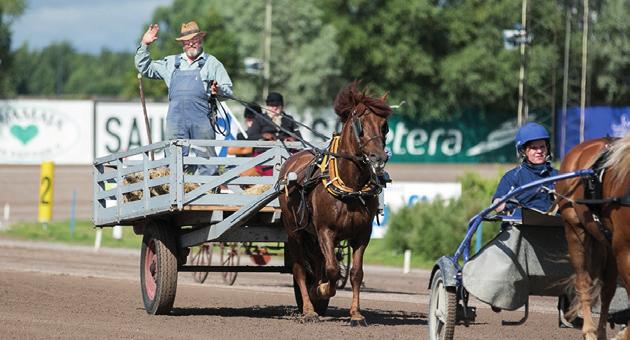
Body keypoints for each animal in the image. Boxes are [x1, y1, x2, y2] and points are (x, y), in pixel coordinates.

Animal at [280, 81, 390, 324]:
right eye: (360, 125)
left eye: (384, 126)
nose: (379, 158)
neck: (351, 187)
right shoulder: (325, 231)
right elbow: (331, 269)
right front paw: (321, 290)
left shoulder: (362, 234)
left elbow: (356, 273)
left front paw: (356, 314)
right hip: (294, 231)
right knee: (300, 269)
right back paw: (309, 309)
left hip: (310, 236)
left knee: (315, 263)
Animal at [556, 133, 630, 340]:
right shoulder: (625, 250)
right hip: (574, 230)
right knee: (584, 280)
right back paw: (589, 330)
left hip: (607, 244)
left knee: (607, 290)